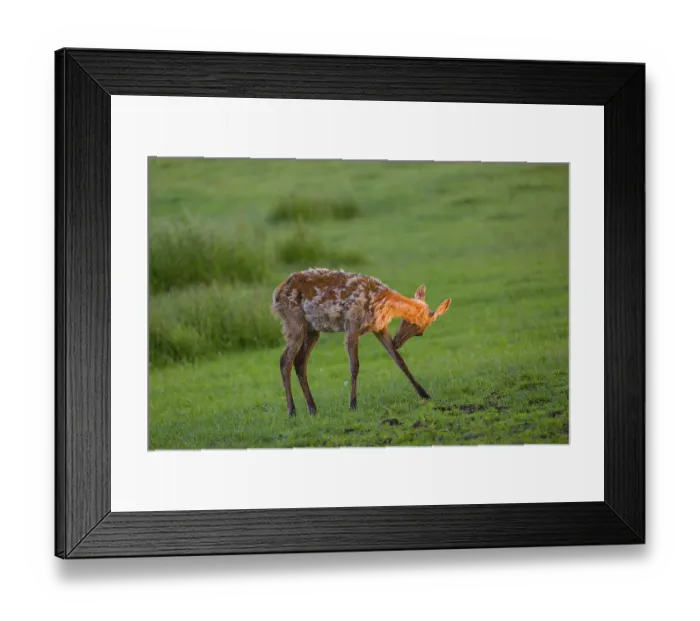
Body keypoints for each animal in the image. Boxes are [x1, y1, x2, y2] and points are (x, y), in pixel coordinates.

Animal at [271, 268, 452, 416]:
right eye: (420, 332)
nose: (397, 342)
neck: (383, 302)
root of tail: (276, 295)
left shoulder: (379, 327)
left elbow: (400, 361)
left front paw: (425, 394)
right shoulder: (352, 324)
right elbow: (354, 366)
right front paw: (352, 404)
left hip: (312, 330)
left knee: (300, 362)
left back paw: (312, 408)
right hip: (294, 322)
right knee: (285, 360)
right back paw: (292, 411)